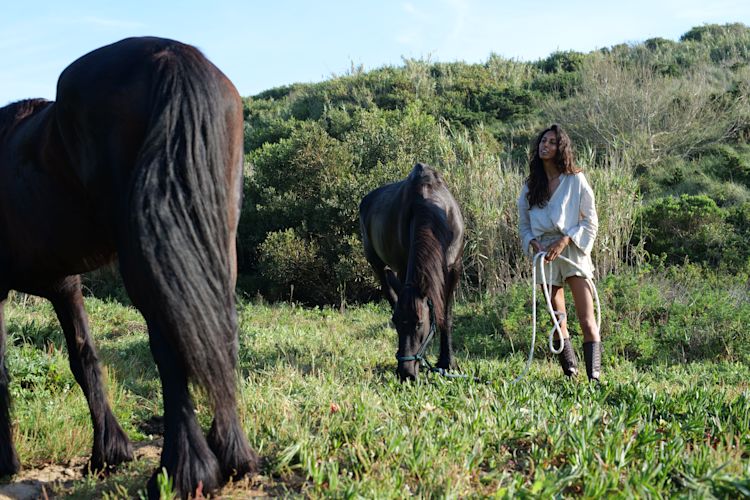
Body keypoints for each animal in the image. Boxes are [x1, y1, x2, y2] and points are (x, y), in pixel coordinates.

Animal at [0, 37, 256, 498]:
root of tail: (171, 55)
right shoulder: (65, 285)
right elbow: (84, 358)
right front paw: (110, 453)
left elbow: (0, 371)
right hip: (214, 244)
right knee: (219, 334)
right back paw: (233, 456)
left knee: (170, 346)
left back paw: (182, 471)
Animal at [359, 163, 464, 381]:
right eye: (397, 322)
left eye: (419, 323)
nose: (406, 374)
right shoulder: (402, 267)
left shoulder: (453, 269)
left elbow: (446, 316)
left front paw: (447, 362)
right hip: (377, 264)